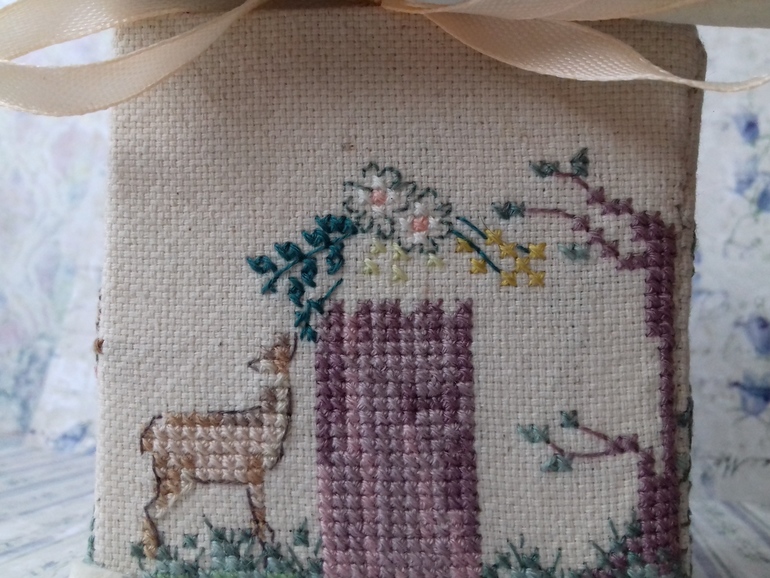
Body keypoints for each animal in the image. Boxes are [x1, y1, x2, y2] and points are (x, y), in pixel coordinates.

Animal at [140, 334, 294, 558]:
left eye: (274, 356)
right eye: (264, 355)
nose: (252, 363)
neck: (267, 422)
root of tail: (148, 435)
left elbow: (258, 517)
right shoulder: (255, 472)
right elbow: (260, 513)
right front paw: (268, 553)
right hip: (173, 475)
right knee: (150, 510)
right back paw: (156, 554)